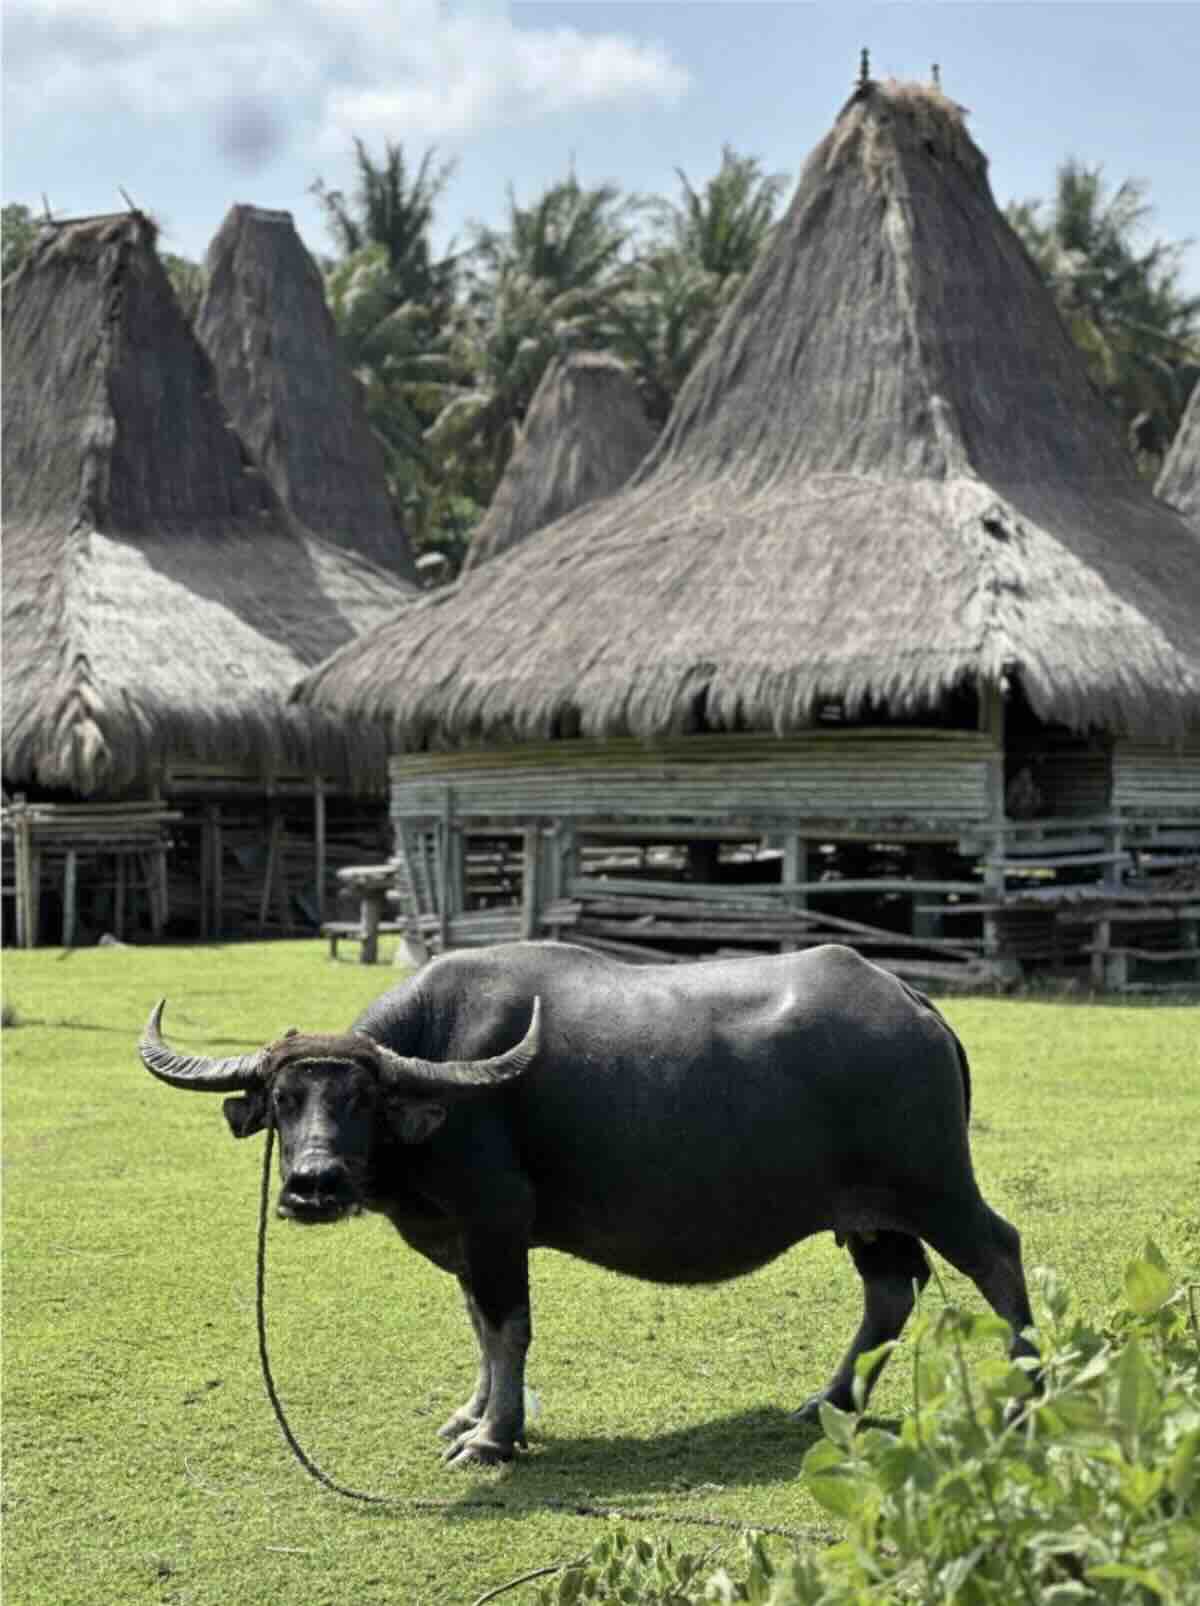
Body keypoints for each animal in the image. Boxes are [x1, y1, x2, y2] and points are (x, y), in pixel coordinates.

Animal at [139, 940, 1037, 1467]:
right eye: (283, 1100)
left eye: (359, 1099)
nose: (314, 1184)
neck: (437, 1071)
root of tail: (915, 1005)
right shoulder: (464, 1239)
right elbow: (478, 1326)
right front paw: (471, 1415)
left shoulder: (496, 1223)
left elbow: (507, 1327)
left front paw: (495, 1439)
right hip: (868, 1213)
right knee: (892, 1288)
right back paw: (828, 1402)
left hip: (935, 1185)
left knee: (997, 1253)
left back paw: (1026, 1388)